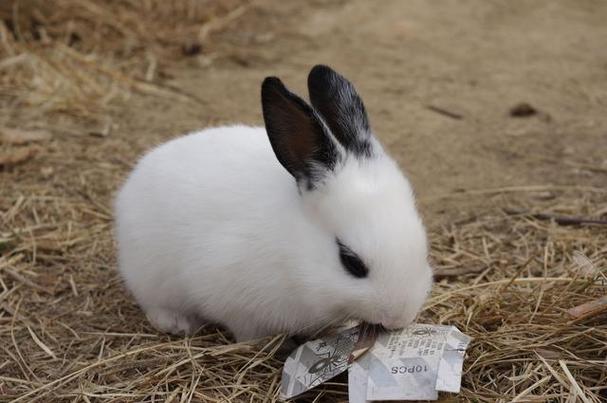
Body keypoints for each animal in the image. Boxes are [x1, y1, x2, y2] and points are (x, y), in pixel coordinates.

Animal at [114, 64, 434, 342]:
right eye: (351, 263)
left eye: (423, 246)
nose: (399, 318)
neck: (293, 252)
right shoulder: (231, 297)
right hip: (150, 276)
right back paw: (178, 324)